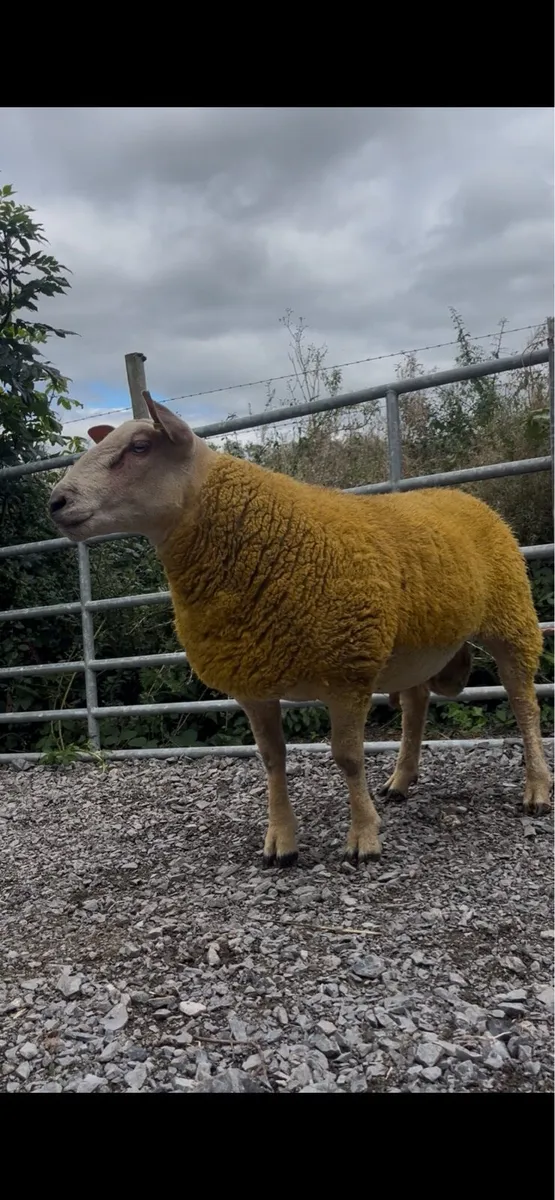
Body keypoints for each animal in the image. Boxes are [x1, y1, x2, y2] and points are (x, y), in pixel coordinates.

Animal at [48, 394, 552, 867]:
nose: (56, 502)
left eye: (139, 447)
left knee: (524, 704)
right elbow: (272, 760)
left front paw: (363, 839)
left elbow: (347, 758)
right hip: (415, 646)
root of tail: (464, 496)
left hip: (511, 619)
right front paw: (281, 844)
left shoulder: (348, 671)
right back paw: (401, 781)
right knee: (416, 705)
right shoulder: (252, 683)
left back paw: (536, 791)